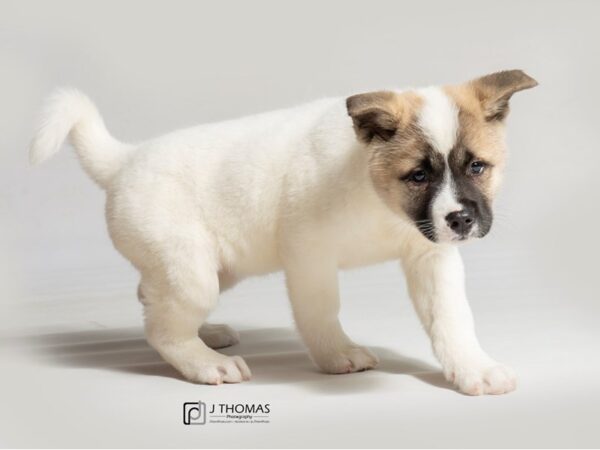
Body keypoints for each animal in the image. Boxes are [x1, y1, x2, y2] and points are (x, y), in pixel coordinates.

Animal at [30, 69, 540, 394]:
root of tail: (125, 159)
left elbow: (452, 321)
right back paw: (207, 363)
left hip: (216, 269)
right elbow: (321, 314)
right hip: (193, 272)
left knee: (150, 297)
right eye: (418, 175)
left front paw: (474, 369)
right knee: (161, 328)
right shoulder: (309, 257)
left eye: (477, 167)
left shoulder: (432, 259)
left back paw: (207, 333)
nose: (461, 220)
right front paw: (337, 355)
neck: (378, 198)